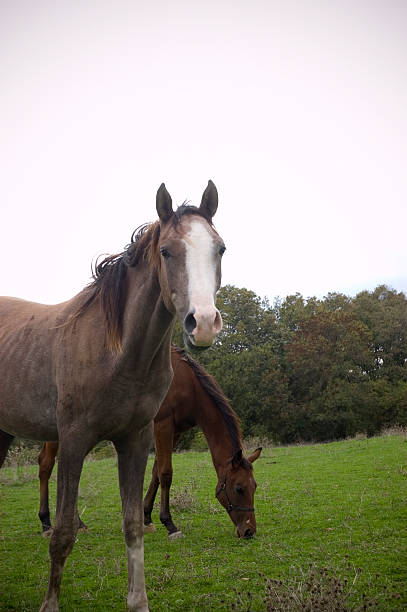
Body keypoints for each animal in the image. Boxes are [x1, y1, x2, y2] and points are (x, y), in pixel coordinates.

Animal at [0, 179, 226, 608]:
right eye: (166, 251)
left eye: (220, 248)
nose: (203, 323)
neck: (118, 351)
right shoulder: (73, 441)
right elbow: (64, 532)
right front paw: (50, 603)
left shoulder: (135, 440)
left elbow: (133, 524)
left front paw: (139, 600)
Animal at [37, 346, 262, 544]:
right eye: (239, 488)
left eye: (254, 487)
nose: (249, 530)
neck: (186, 383)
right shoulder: (162, 425)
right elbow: (166, 473)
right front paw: (170, 525)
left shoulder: (175, 432)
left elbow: (156, 473)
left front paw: (146, 518)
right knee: (47, 465)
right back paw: (48, 523)